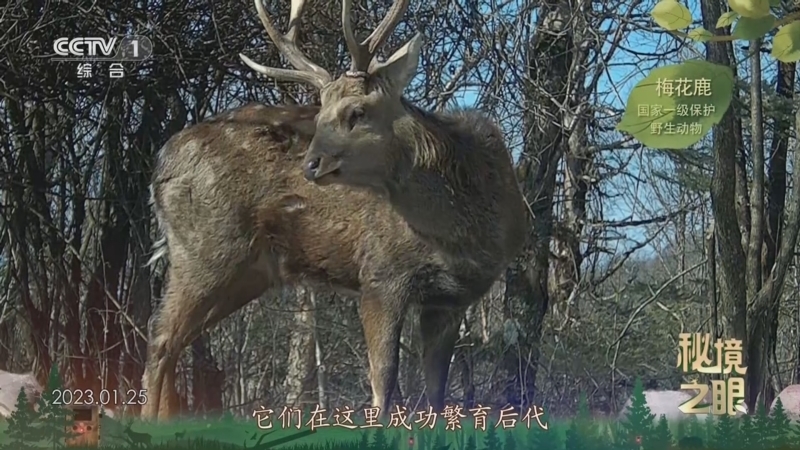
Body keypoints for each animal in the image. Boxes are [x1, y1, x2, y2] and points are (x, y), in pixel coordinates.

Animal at [140, 0, 527, 421]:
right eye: (320, 111)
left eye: (357, 111)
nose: (310, 164)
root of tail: (160, 164)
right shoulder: (380, 275)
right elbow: (383, 383)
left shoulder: (450, 300)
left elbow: (437, 396)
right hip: (203, 250)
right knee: (160, 340)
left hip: (246, 272)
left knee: (174, 341)